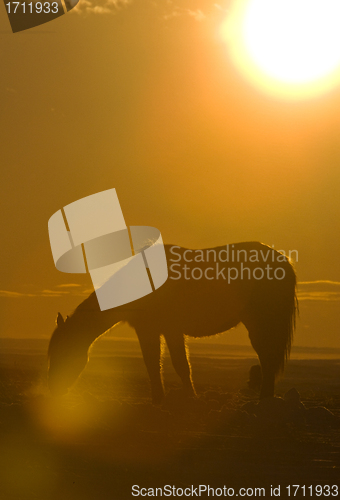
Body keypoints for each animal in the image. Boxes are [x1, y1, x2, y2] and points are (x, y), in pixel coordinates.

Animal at [47, 241, 298, 402]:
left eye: (62, 352)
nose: (54, 390)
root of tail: (283, 262)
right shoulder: (166, 330)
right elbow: (174, 365)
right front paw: (182, 396)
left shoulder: (154, 330)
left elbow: (161, 363)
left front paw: (167, 398)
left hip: (260, 322)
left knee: (266, 356)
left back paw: (264, 398)